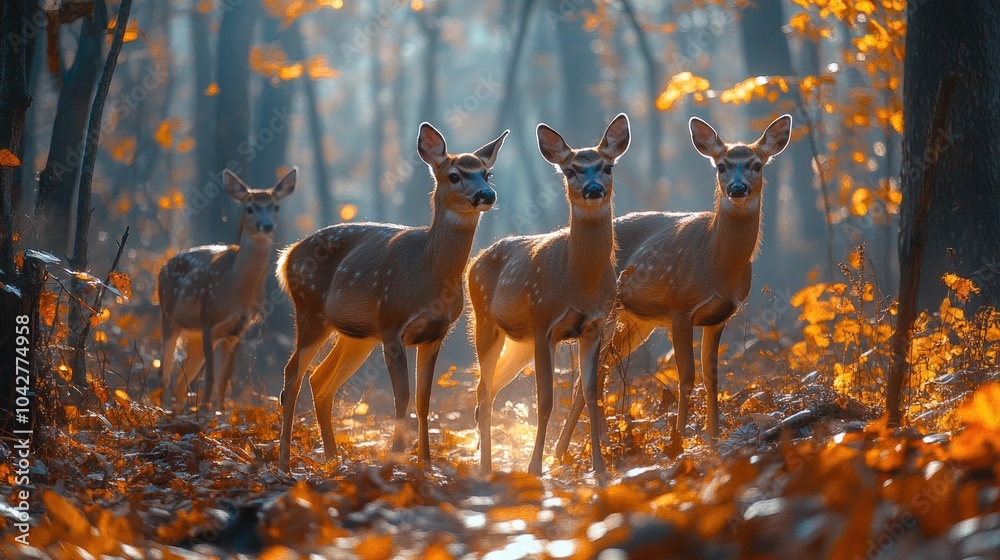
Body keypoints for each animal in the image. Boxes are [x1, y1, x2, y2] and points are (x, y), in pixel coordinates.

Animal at [159, 167, 297, 411]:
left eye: (275, 206)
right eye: (249, 207)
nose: (266, 225)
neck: (234, 291)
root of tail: (163, 266)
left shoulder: (237, 330)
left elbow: (224, 380)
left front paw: (219, 412)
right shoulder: (208, 320)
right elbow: (211, 378)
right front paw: (205, 412)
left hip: (193, 335)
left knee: (180, 384)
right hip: (168, 315)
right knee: (165, 373)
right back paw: (163, 409)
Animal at [275, 123, 508, 472]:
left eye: (487, 173)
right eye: (455, 175)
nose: (487, 195)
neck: (427, 273)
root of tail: (286, 256)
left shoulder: (436, 333)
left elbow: (424, 400)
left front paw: (425, 464)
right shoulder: (392, 324)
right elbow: (403, 397)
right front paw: (395, 460)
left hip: (356, 335)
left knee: (320, 380)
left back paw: (332, 458)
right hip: (310, 310)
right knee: (293, 374)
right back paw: (284, 461)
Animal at [468, 114, 631, 476]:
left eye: (607, 166)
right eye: (570, 170)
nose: (593, 189)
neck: (578, 283)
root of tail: (474, 262)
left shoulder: (594, 326)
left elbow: (590, 393)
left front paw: (600, 469)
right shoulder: (545, 323)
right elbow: (545, 401)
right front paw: (534, 468)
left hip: (520, 342)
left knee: (493, 386)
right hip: (485, 322)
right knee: (483, 389)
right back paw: (485, 467)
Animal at [554, 114, 792, 460]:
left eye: (756, 164)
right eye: (721, 165)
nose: (737, 188)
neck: (714, 260)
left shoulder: (720, 315)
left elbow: (711, 377)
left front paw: (714, 437)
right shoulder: (680, 307)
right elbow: (687, 376)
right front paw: (679, 441)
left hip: (637, 323)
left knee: (599, 374)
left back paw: (578, 449)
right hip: (610, 314)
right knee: (591, 377)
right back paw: (578, 448)